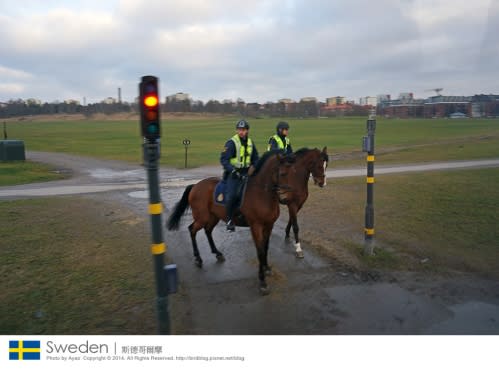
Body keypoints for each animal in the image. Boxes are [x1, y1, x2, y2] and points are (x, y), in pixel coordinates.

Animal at [166, 151, 294, 294]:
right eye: (282, 173)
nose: (287, 198)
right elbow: (260, 251)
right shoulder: (256, 226)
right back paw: (198, 258)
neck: (262, 194)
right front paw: (262, 281)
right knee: (192, 229)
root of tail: (196, 186)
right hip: (202, 218)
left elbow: (265, 248)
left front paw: (266, 268)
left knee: (208, 231)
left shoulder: (269, 225)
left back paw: (217, 253)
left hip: (213, 217)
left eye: (294, 172)